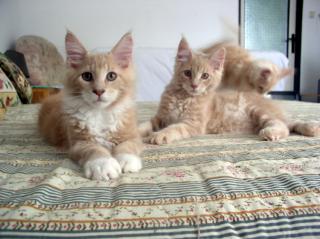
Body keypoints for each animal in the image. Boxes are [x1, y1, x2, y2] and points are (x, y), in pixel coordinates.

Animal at [141, 37, 320, 144]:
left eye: (205, 76)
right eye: (187, 73)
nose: (194, 85)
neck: (183, 97)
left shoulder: (193, 124)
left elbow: (174, 127)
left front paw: (159, 135)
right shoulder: (160, 117)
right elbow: (145, 124)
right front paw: (140, 131)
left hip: (256, 110)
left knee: (283, 125)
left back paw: (272, 132)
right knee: (289, 124)